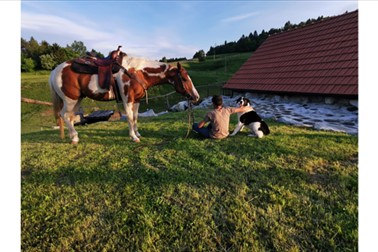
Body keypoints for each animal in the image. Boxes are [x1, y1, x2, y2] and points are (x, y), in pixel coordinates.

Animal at [49, 49, 201, 144]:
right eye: (184, 78)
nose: (196, 96)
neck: (138, 72)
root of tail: (55, 70)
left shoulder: (137, 100)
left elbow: (135, 117)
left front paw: (137, 133)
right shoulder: (128, 99)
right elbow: (129, 117)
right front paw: (133, 137)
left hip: (77, 100)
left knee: (70, 117)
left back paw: (73, 136)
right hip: (70, 100)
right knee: (64, 115)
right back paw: (74, 138)